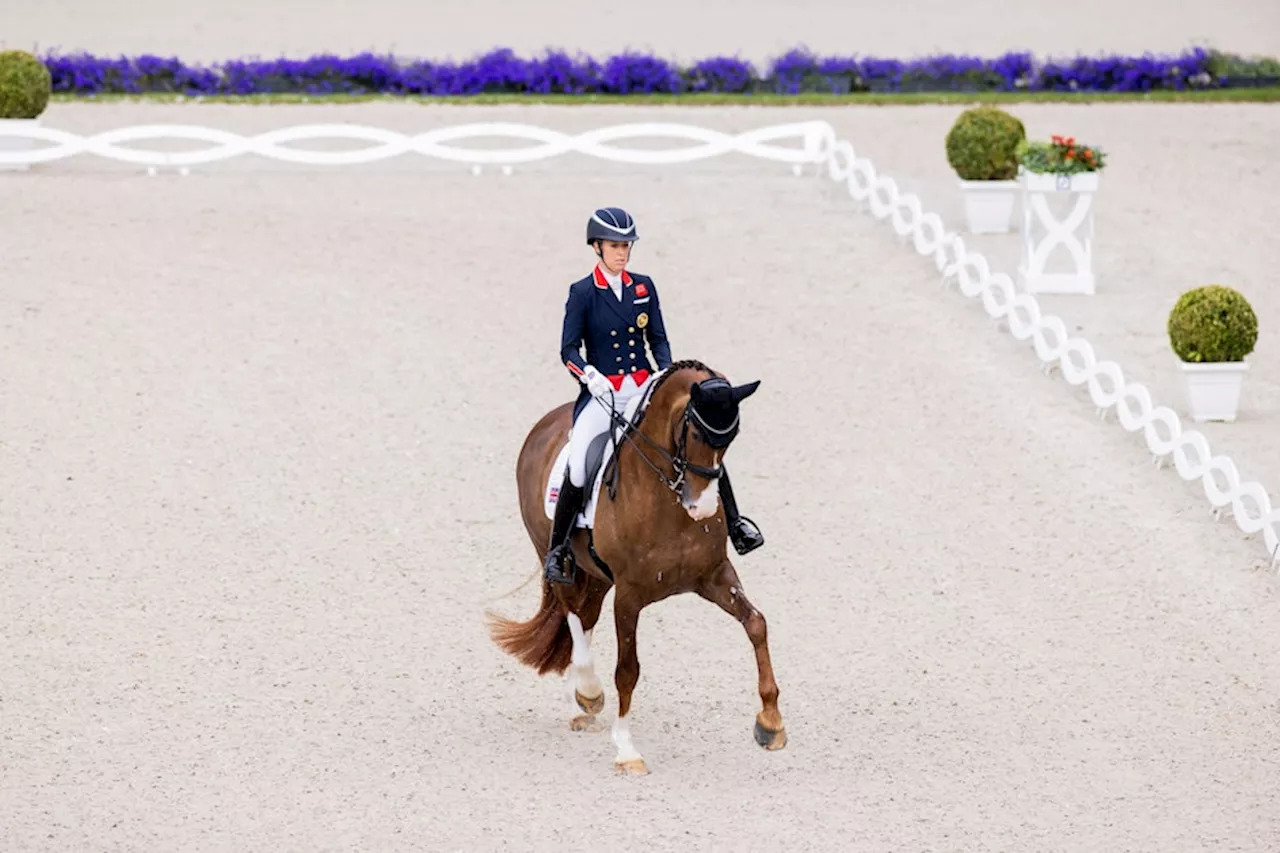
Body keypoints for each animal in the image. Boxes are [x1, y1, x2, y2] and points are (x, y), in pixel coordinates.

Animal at [483, 356, 783, 773]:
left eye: (732, 436)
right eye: (694, 433)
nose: (702, 507)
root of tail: (545, 425)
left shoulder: (715, 576)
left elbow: (756, 624)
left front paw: (770, 723)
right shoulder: (629, 595)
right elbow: (628, 670)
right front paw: (626, 750)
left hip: (596, 577)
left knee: (584, 619)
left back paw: (581, 704)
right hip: (557, 559)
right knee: (572, 614)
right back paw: (587, 694)